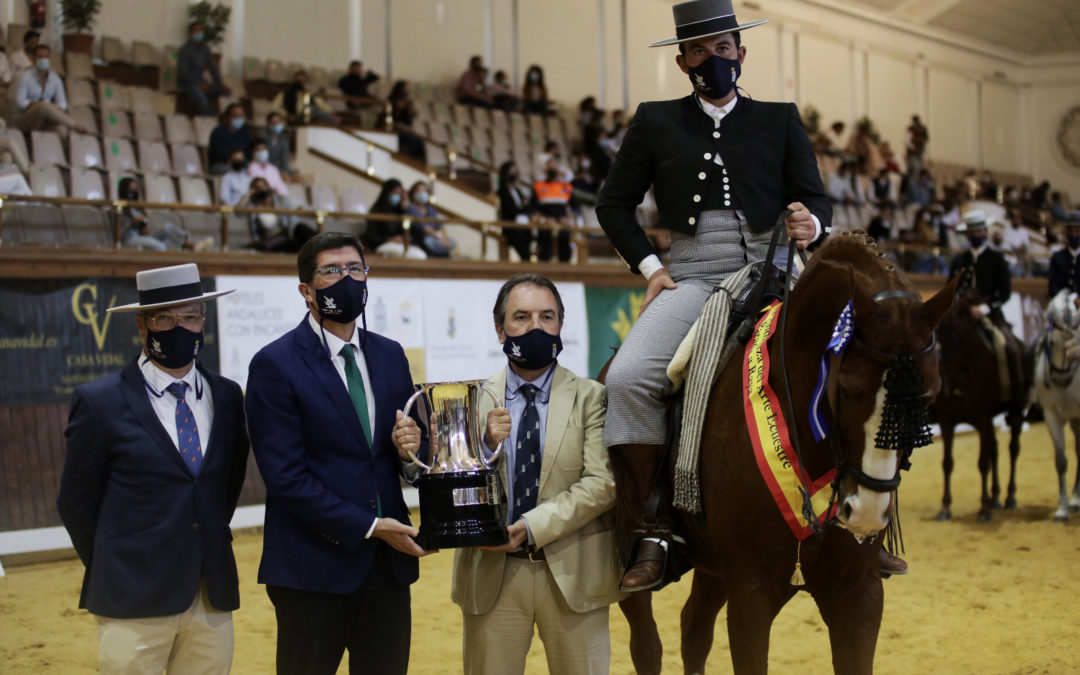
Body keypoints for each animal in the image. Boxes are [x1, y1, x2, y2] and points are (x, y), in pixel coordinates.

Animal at [609, 233, 954, 673]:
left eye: (928, 397)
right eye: (846, 389)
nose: (865, 513)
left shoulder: (859, 593)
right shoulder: (751, 592)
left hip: (713, 567)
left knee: (694, 627)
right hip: (628, 551)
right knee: (647, 644)